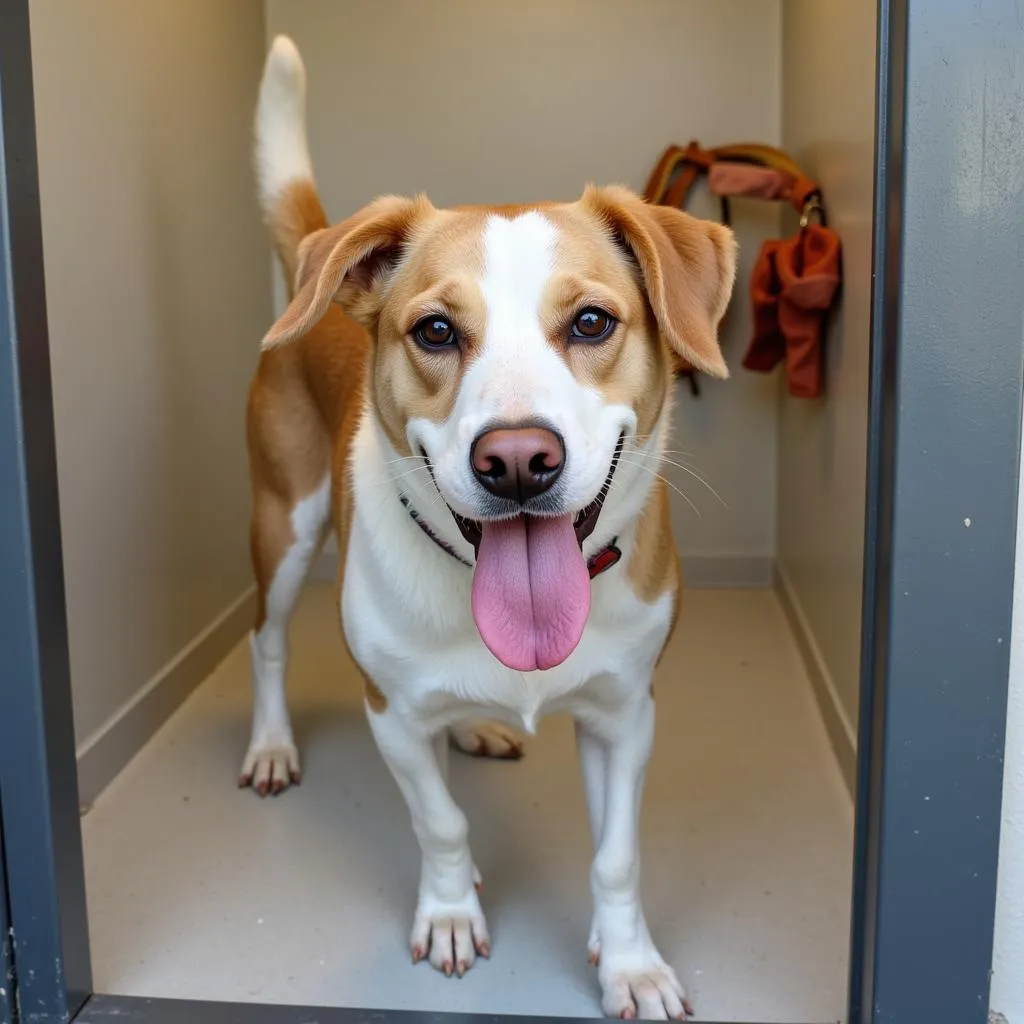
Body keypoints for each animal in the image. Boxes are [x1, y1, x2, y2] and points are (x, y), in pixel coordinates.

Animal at [239, 36, 737, 1019]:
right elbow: (440, 820)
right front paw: (450, 913)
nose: (515, 460)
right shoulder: (389, 713)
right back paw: (273, 744)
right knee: (267, 641)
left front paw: (629, 963)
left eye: (592, 321)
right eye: (435, 331)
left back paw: (474, 727)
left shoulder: (626, 715)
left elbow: (617, 858)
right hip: (285, 525)